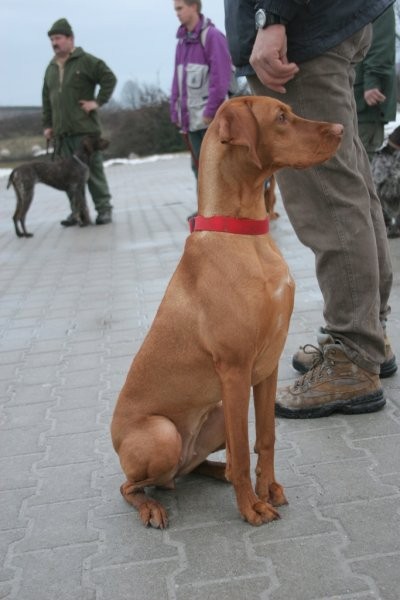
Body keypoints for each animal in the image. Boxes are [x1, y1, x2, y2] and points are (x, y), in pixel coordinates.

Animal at [111, 96, 342, 528]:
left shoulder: (266, 367)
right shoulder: (235, 369)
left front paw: (268, 489)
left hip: (214, 412)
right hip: (163, 434)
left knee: (195, 468)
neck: (244, 234)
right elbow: (246, 440)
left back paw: (220, 473)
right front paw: (251, 506)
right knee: (133, 486)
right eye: (281, 117)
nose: (340, 129)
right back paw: (152, 507)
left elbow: (264, 437)